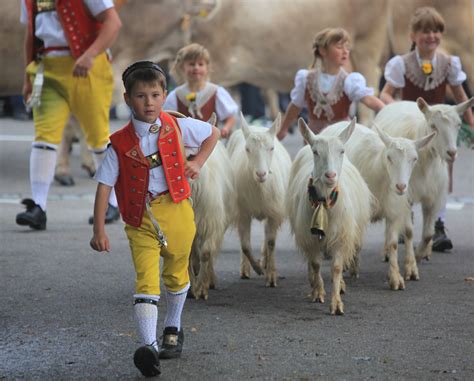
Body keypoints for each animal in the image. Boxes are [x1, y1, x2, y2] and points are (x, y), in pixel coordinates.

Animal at [227, 113, 290, 284]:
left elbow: (271, 242)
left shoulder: (274, 212)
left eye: (272, 148)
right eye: (247, 149)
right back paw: (246, 269)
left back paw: (266, 260)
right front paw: (257, 268)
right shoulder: (243, 213)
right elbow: (245, 246)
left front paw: (271, 276)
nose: (261, 174)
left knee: (267, 237)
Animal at [288, 119, 374, 314]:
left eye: (341, 151)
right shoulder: (310, 238)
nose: (330, 175)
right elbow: (316, 264)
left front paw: (336, 303)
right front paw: (318, 292)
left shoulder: (341, 237)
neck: (323, 203)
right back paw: (313, 284)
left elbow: (336, 267)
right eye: (315, 152)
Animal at [324, 121, 436, 288]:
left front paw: (395, 278)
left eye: (414, 159)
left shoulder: (394, 210)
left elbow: (393, 243)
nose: (401, 186)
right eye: (389, 157)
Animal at [374, 96, 474, 260]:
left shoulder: (434, 195)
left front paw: (420, 253)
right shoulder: (405, 192)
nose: (452, 153)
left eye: (459, 124)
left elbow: (428, 233)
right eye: (433, 126)